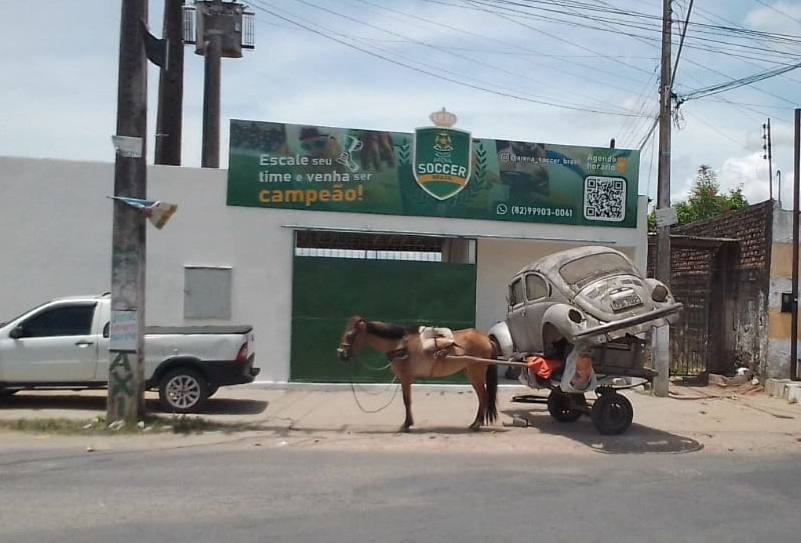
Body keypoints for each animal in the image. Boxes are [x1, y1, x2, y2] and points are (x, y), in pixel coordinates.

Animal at [334, 314, 496, 434]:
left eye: (351, 334)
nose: (341, 354)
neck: (400, 345)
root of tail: (485, 338)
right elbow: (407, 400)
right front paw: (408, 423)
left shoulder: (405, 377)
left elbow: (407, 400)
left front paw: (406, 424)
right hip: (471, 373)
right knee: (482, 397)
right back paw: (475, 423)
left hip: (476, 373)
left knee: (484, 396)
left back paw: (477, 424)